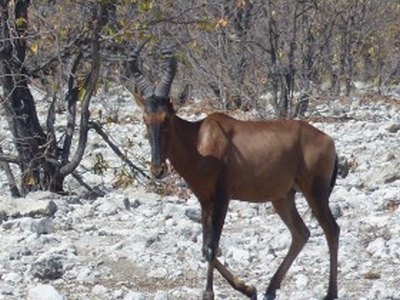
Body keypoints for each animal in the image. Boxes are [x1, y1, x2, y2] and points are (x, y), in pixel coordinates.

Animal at [130, 45, 340, 300]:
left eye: (167, 117)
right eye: (145, 118)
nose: (157, 169)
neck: (200, 139)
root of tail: (327, 140)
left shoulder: (223, 197)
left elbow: (212, 246)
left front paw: (209, 293)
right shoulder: (205, 200)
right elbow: (205, 246)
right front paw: (249, 289)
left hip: (315, 193)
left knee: (332, 230)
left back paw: (330, 293)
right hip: (283, 197)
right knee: (301, 233)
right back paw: (270, 289)